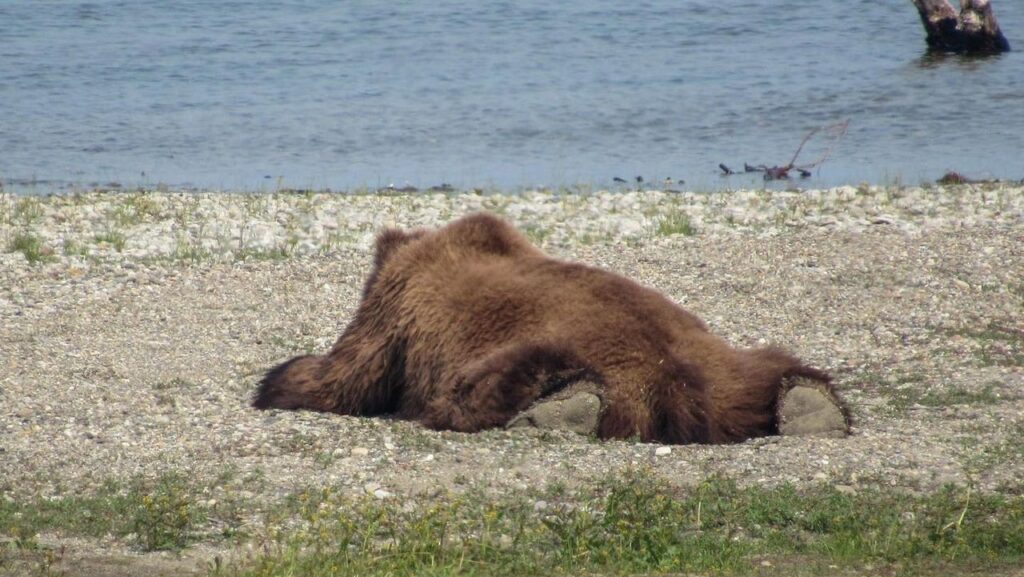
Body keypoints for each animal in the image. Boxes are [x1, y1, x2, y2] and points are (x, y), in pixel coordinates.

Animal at [251, 214, 843, 444]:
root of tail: (681, 386)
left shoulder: (393, 312)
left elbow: (342, 378)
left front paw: (276, 379)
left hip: (547, 352)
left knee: (480, 387)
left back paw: (560, 407)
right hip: (722, 358)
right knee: (767, 364)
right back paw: (812, 404)